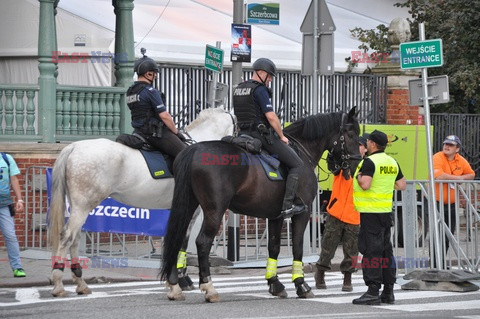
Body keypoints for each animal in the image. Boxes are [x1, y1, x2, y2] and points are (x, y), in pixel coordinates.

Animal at [161, 108, 360, 302]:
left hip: (189, 205)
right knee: (202, 242)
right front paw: (301, 285)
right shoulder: (302, 213)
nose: (356, 163)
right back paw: (209, 288)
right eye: (351, 133)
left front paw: (275, 284)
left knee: (177, 237)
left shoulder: (275, 215)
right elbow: (297, 247)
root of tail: (193, 150)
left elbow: (274, 247)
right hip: (214, 210)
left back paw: (175, 287)